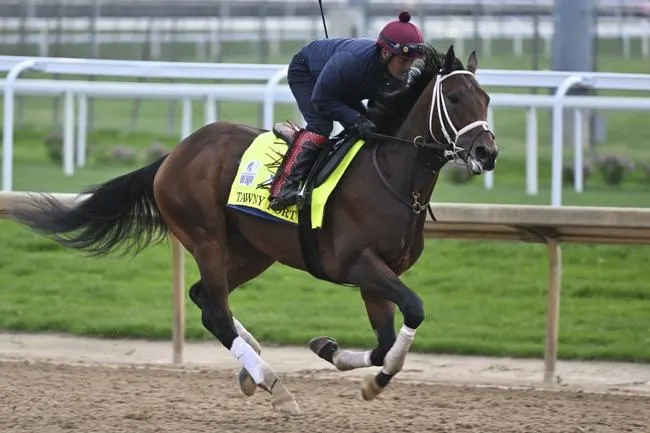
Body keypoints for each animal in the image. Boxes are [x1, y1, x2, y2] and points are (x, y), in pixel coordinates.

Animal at [7, 44, 496, 416]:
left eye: (487, 99)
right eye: (455, 99)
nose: (486, 153)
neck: (391, 178)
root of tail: (173, 155)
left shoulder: (377, 275)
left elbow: (384, 343)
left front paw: (334, 352)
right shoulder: (360, 265)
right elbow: (414, 310)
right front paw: (374, 381)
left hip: (252, 251)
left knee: (205, 297)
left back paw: (252, 363)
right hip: (205, 236)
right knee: (215, 311)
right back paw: (273, 384)